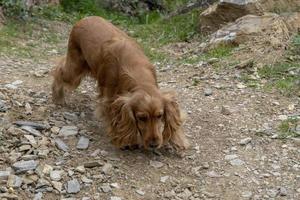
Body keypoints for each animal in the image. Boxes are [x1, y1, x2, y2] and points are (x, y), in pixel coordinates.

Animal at [51, 16, 188, 150]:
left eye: (160, 116)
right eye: (141, 118)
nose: (153, 144)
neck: (137, 72)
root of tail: (84, 18)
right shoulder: (110, 100)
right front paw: (126, 140)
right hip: (75, 68)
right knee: (59, 71)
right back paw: (58, 97)